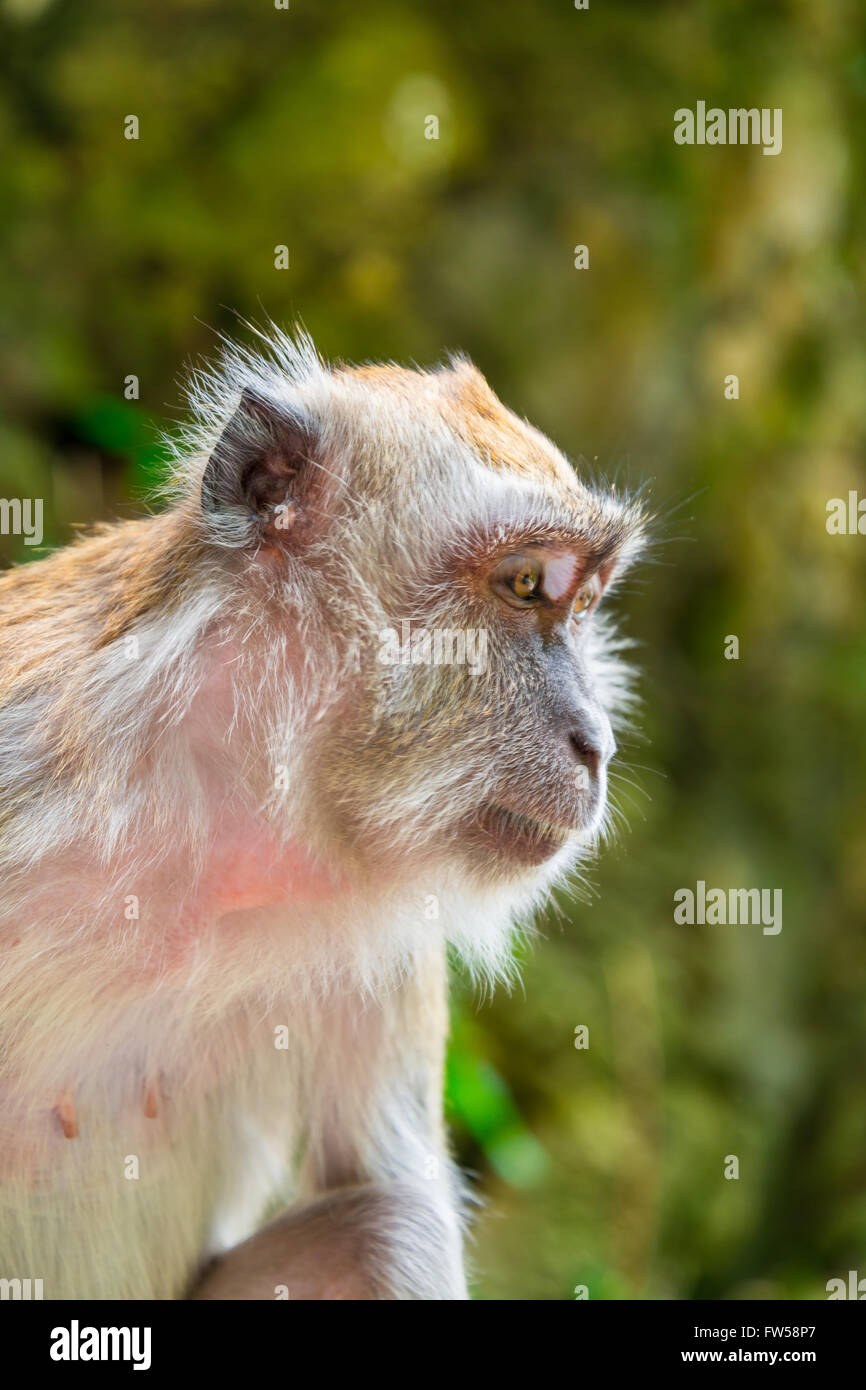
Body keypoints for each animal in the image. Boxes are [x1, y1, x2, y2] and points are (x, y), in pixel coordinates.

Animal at [0, 327, 645, 1300]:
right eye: (527, 584)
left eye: (586, 603)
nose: (596, 743)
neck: (210, 811)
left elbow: (384, 1186)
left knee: (386, 1231)